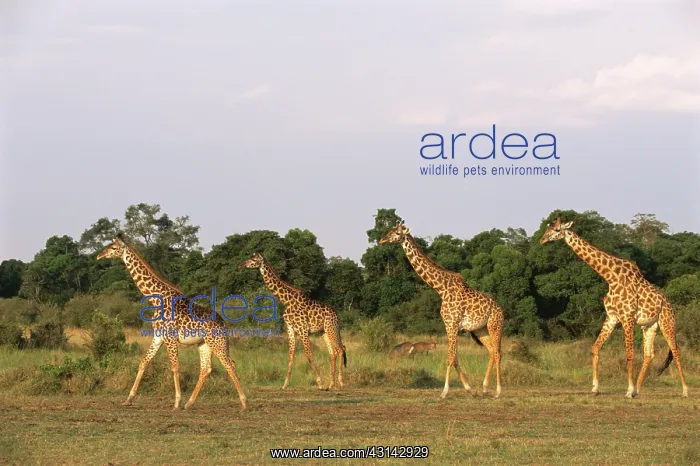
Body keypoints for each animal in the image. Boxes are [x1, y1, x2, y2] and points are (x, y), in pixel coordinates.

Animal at [96, 234, 248, 410]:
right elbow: (144, 361)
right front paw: (129, 399)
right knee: (206, 368)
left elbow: (175, 367)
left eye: (113, 248)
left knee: (229, 364)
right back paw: (190, 403)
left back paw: (244, 402)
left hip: (216, 342)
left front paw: (176, 402)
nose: (99, 256)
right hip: (204, 344)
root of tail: (224, 325)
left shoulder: (169, 337)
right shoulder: (158, 336)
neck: (156, 298)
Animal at [238, 253, 347, 390]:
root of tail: (336, 314)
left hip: (331, 328)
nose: (240, 265)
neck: (287, 301)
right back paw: (331, 384)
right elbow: (291, 356)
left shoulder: (302, 328)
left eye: (253, 259)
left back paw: (340, 382)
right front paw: (285, 384)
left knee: (340, 348)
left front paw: (320, 383)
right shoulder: (290, 328)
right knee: (332, 353)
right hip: (324, 332)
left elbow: (309, 355)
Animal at [378, 222, 504, 399]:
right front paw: (470, 389)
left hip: (495, 325)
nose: (381, 240)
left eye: (396, 233)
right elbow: (455, 358)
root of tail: (500, 308)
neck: (441, 289)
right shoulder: (449, 325)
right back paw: (485, 388)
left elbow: (450, 358)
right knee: (492, 352)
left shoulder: (452, 324)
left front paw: (444, 392)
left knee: (498, 353)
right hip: (481, 330)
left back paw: (498, 391)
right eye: (390, 230)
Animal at [539, 216, 688, 398]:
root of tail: (669, 304)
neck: (610, 276)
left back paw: (684, 390)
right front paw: (595, 388)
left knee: (676, 350)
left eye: (557, 230)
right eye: (549, 227)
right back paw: (638, 390)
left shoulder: (627, 317)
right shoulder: (612, 316)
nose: (542, 240)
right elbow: (595, 348)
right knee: (649, 354)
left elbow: (629, 354)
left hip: (667, 322)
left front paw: (628, 391)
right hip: (649, 326)